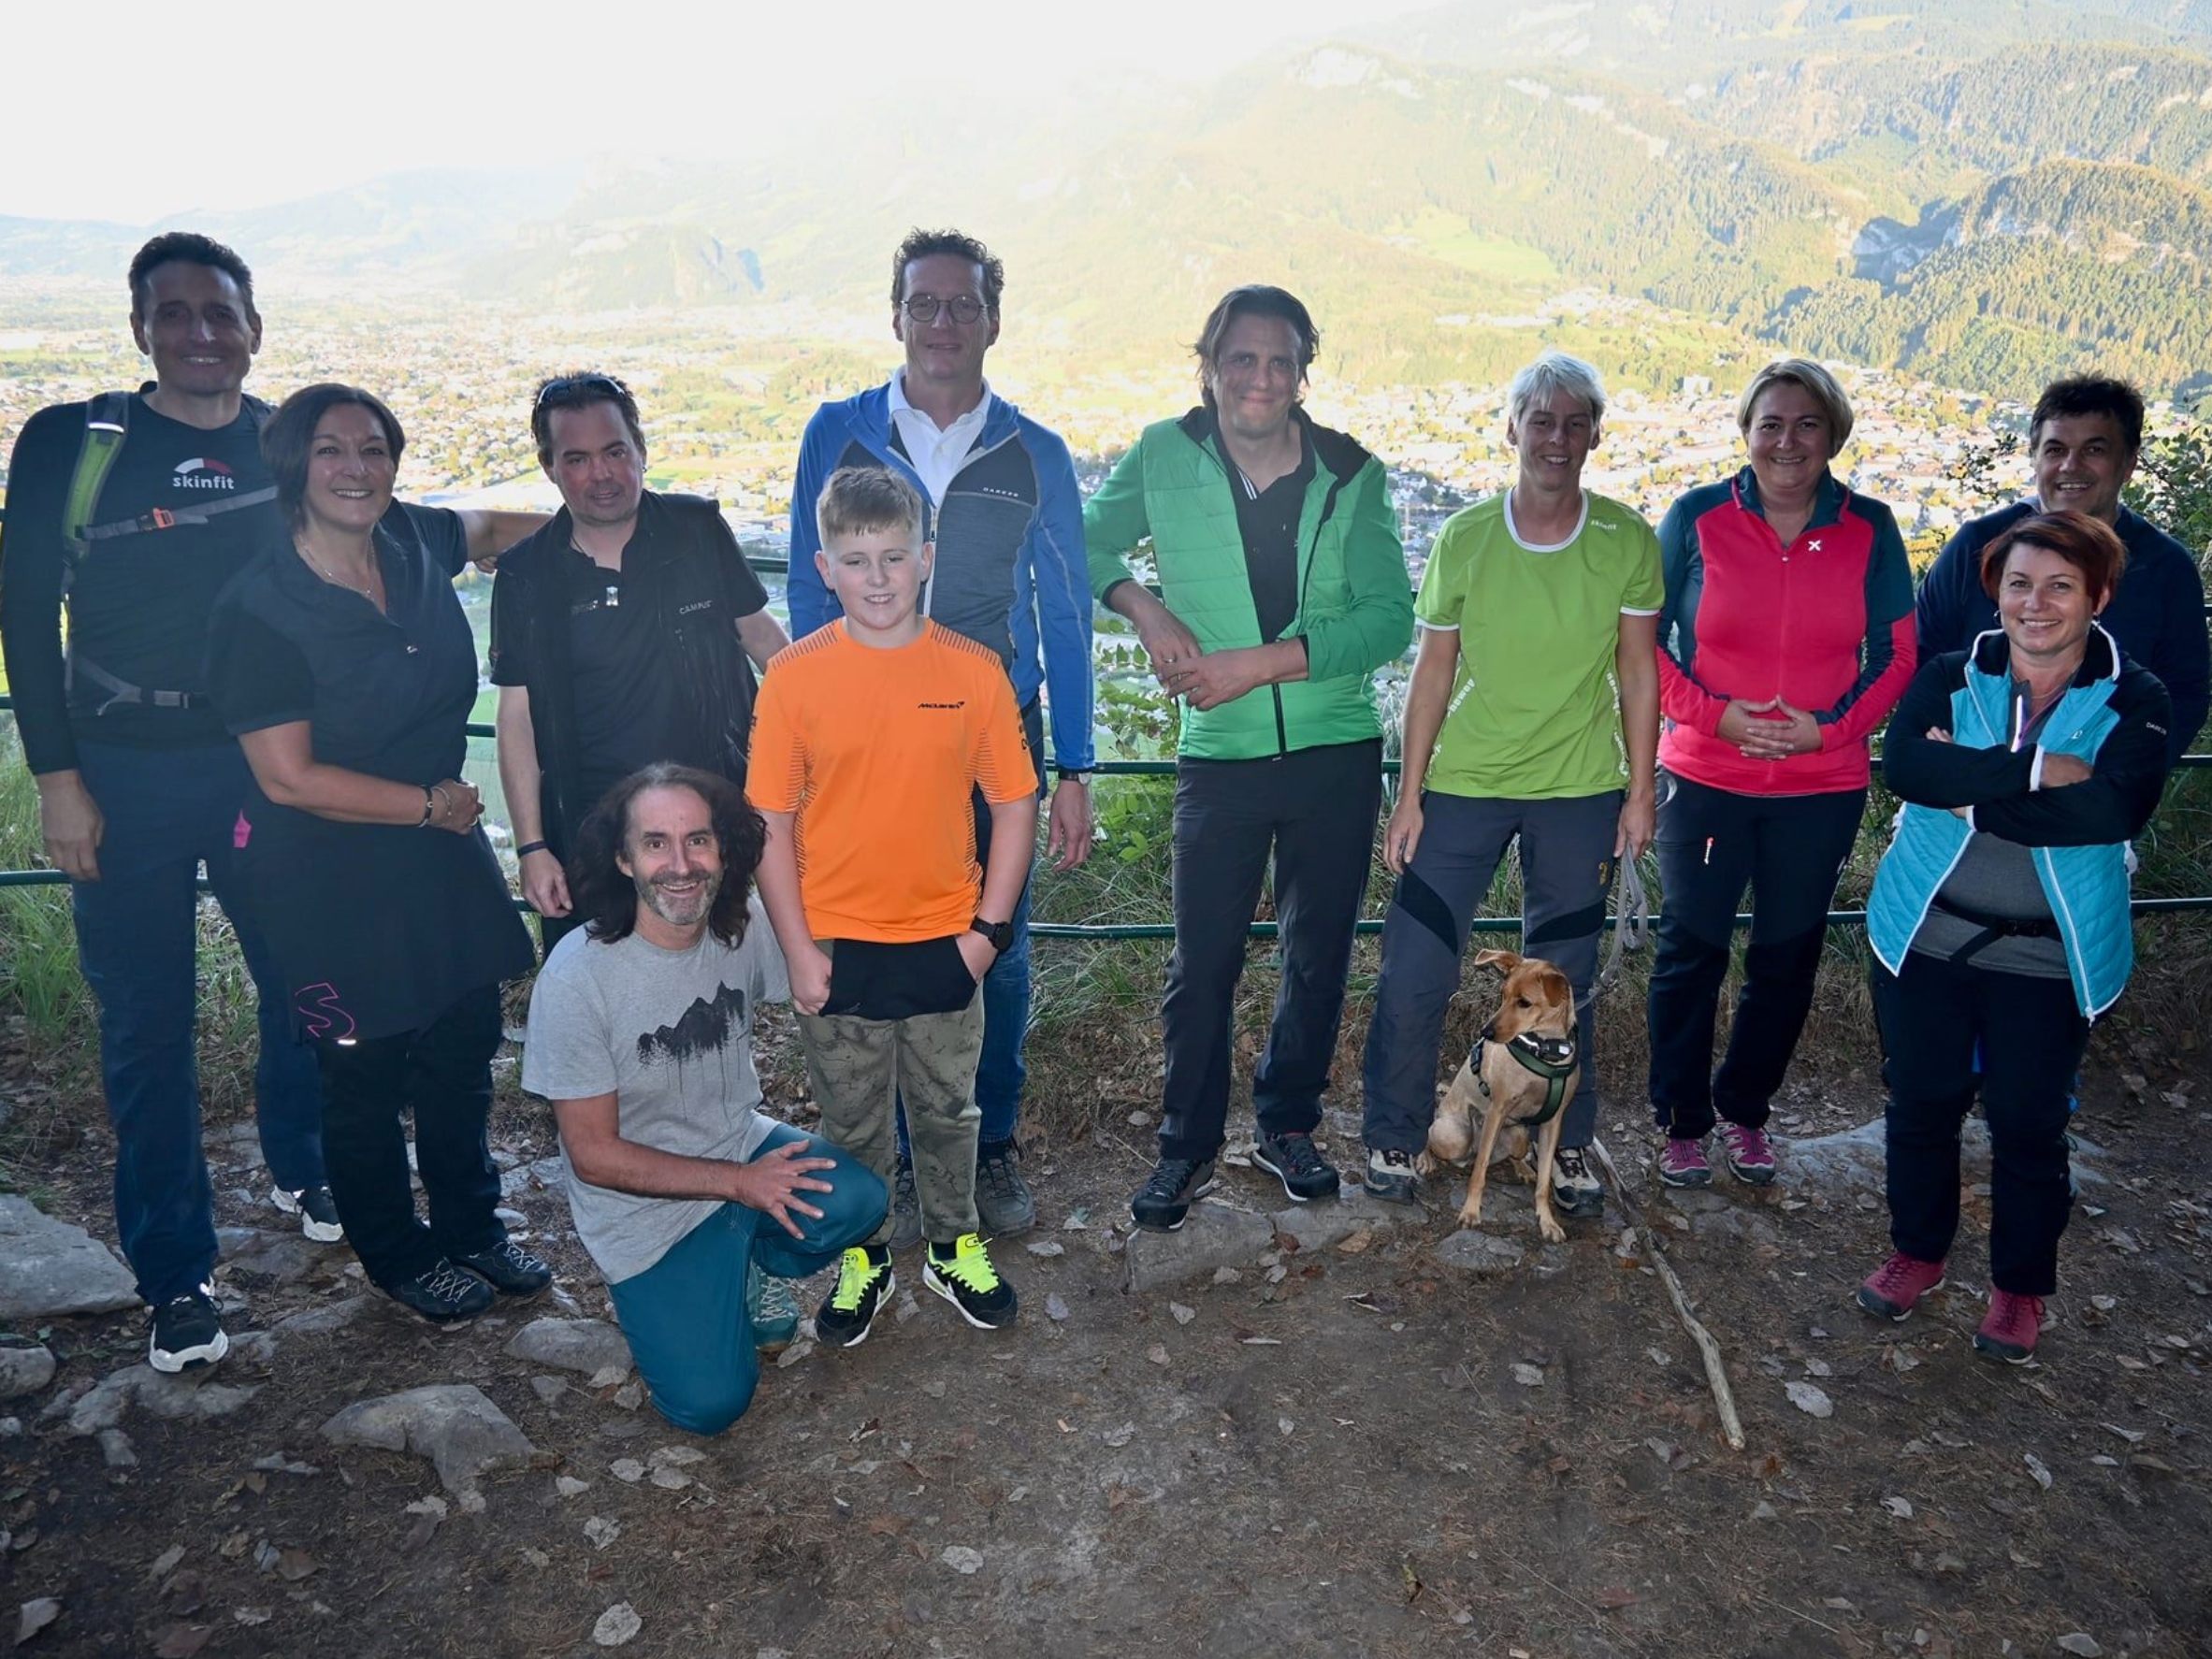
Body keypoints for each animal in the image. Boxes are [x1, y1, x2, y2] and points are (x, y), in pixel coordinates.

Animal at [1424, 946, 1583, 1248]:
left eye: (1524, 1002)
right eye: (1503, 994)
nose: (1485, 1032)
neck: (1543, 1049)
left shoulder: (1553, 1121)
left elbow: (1545, 1182)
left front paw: (1547, 1221)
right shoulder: (1497, 1111)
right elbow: (1480, 1172)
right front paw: (1470, 1212)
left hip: (1520, 1136)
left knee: (1515, 1156)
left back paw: (1524, 1169)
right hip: (1456, 1135)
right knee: (1433, 1139)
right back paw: (1424, 1158)